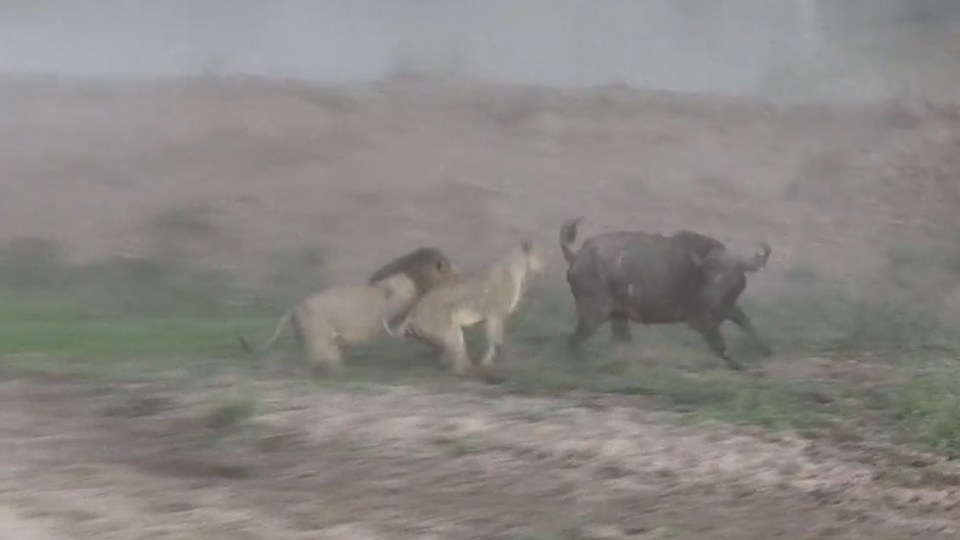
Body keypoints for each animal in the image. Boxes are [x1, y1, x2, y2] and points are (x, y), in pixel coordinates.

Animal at [384, 240, 548, 376]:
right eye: (541, 254)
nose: (547, 263)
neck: (519, 267)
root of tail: (412, 313)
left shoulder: (486, 319)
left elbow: (494, 341)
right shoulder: (494, 315)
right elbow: (495, 341)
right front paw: (490, 362)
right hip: (452, 332)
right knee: (459, 365)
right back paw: (473, 372)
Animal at [564, 217, 772, 370]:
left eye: (734, 275)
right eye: (712, 272)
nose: (712, 299)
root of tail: (577, 256)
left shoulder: (730, 308)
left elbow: (749, 326)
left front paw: (766, 351)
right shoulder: (702, 322)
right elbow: (721, 347)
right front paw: (738, 365)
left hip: (618, 316)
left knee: (619, 341)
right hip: (594, 314)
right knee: (573, 340)